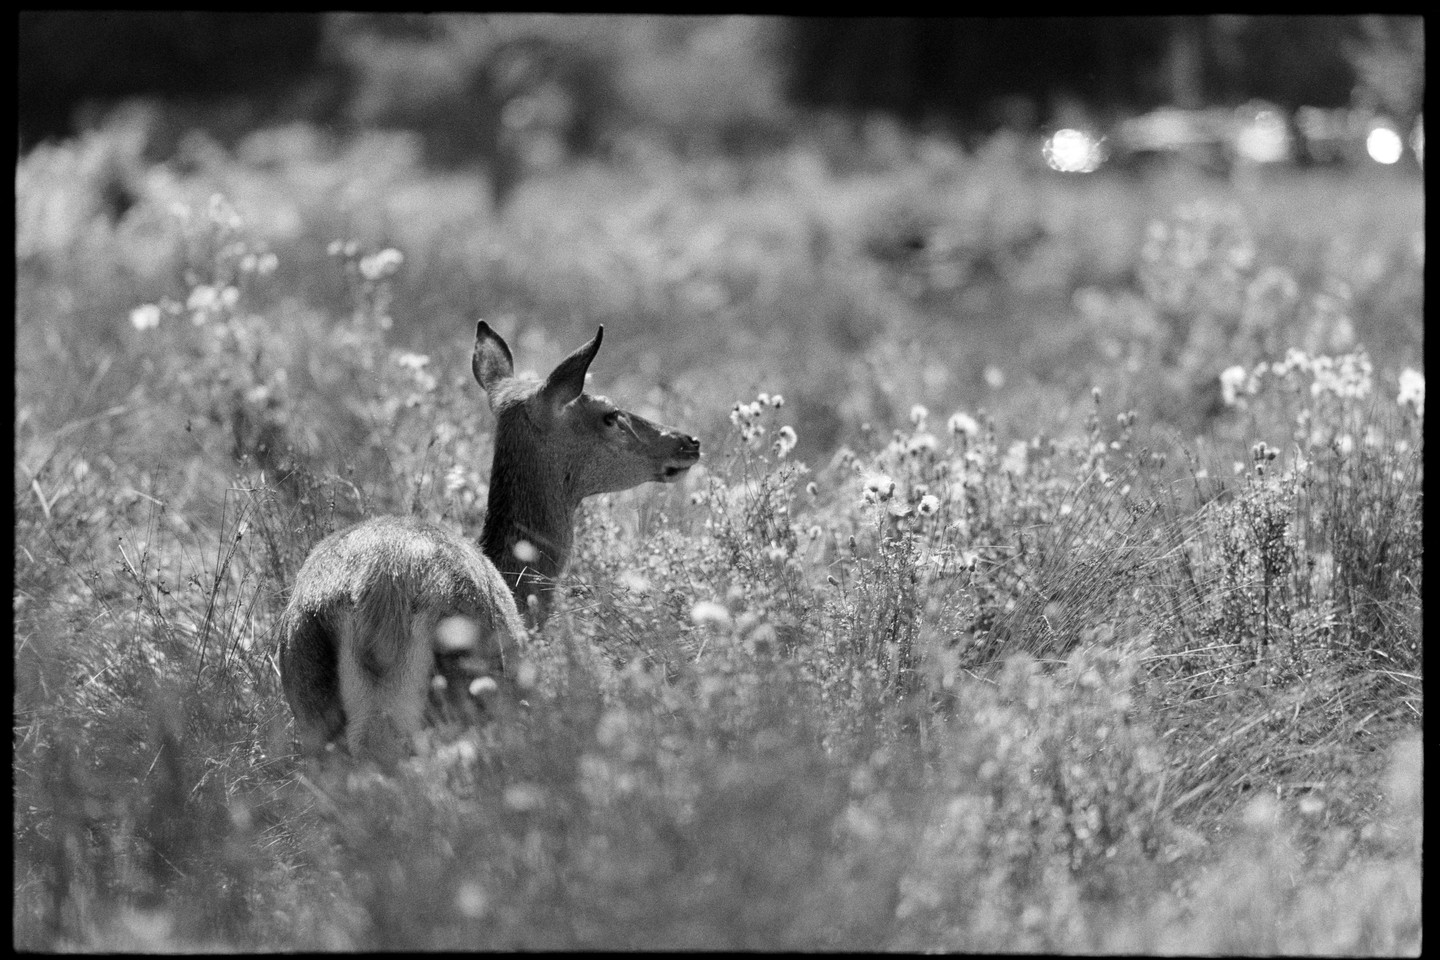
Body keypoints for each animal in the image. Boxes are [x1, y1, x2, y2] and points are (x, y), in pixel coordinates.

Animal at [279, 321, 701, 767]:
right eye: (610, 414)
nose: (689, 441)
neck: (517, 588)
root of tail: (379, 594)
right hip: (467, 692)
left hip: (309, 694)